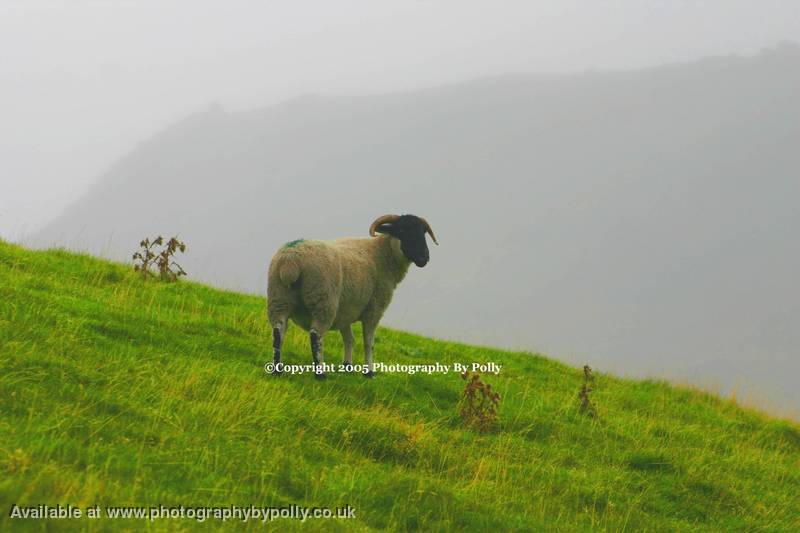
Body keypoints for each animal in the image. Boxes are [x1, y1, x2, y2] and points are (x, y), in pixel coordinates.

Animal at [268, 213, 438, 378]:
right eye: (402, 230)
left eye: (423, 232)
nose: (424, 258)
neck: (383, 255)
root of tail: (291, 261)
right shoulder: (374, 309)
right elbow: (368, 342)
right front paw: (369, 372)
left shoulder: (346, 310)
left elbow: (349, 339)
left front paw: (347, 366)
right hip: (323, 302)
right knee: (316, 336)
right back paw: (320, 373)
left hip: (279, 298)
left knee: (278, 332)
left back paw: (277, 370)